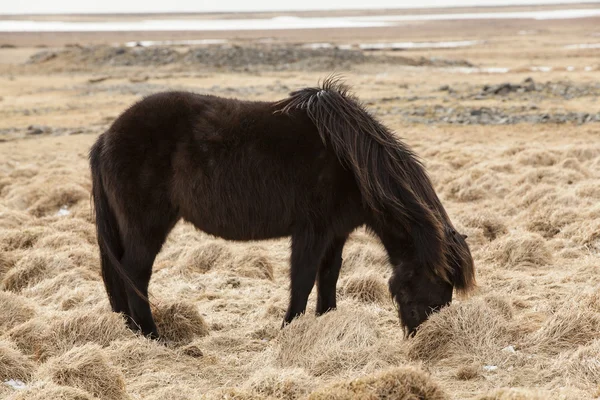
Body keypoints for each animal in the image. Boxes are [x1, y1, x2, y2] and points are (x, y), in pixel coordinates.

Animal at [89, 77, 476, 338]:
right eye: (434, 292)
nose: (419, 342)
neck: (352, 163)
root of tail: (107, 137)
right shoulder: (311, 231)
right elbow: (303, 278)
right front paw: (290, 326)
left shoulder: (336, 232)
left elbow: (329, 275)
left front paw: (326, 320)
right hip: (147, 226)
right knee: (135, 273)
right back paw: (151, 335)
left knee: (120, 275)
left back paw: (129, 330)